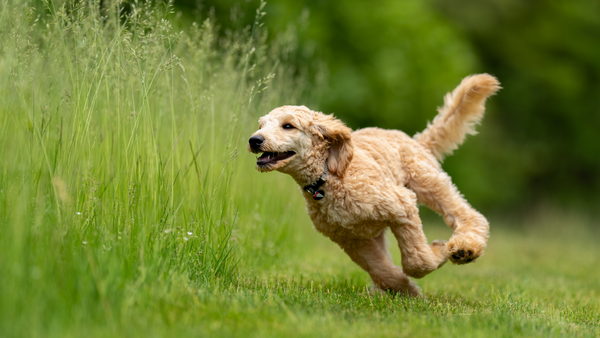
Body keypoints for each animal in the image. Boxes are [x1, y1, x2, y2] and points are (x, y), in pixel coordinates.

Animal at [248, 73, 502, 296]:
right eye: (261, 125)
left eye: (288, 126)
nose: (254, 139)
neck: (328, 178)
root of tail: (415, 139)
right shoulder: (351, 239)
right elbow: (381, 268)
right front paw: (404, 290)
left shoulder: (402, 205)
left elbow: (416, 260)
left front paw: (438, 252)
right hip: (377, 229)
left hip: (427, 182)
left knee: (468, 215)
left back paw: (465, 248)